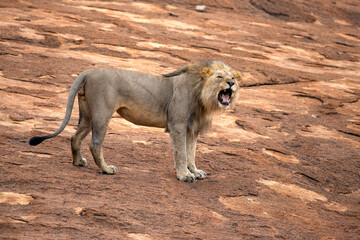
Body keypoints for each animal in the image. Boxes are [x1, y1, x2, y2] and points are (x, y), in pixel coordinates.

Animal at [28, 60, 242, 182]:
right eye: (220, 77)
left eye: (233, 77)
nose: (231, 83)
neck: (202, 95)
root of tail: (88, 72)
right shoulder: (178, 125)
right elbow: (180, 153)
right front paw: (184, 175)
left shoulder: (192, 129)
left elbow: (191, 153)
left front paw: (195, 172)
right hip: (102, 113)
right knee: (95, 143)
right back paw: (106, 169)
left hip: (87, 115)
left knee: (75, 137)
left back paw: (78, 162)